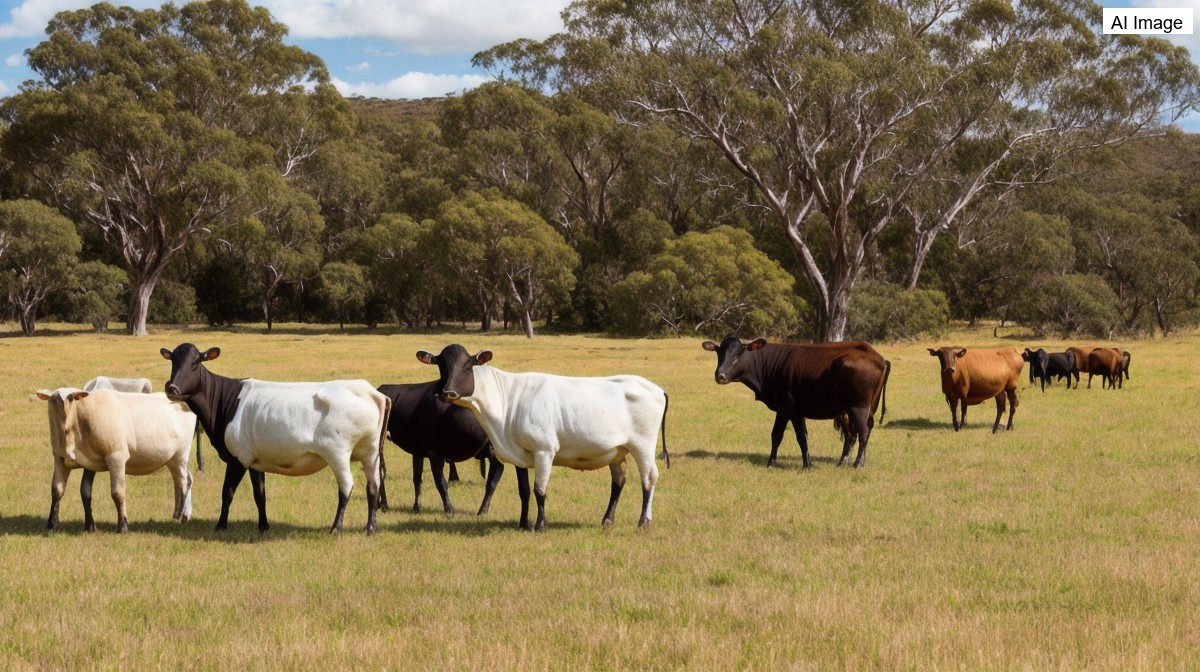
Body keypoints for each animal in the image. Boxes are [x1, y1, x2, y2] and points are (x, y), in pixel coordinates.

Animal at [37, 388, 194, 533]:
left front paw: (123, 526)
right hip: (171, 459)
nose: (64, 427)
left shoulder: (116, 457)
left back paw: (181, 516)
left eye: (71, 398)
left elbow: (118, 493)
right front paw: (56, 524)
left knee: (184, 481)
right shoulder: (64, 459)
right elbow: (64, 490)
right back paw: (180, 515)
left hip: (181, 455)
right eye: (53, 400)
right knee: (185, 479)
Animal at [160, 343, 389, 534]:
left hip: (338, 452)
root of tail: (368, 391)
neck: (227, 400)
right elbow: (259, 494)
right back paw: (370, 528)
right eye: (172, 361)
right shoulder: (255, 460)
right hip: (370, 452)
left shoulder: (238, 458)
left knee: (346, 487)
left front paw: (220, 525)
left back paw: (336, 528)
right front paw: (263, 525)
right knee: (373, 486)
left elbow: (227, 492)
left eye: (195, 362)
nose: (171, 388)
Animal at [377, 380, 521, 515]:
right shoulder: (423, 453)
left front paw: (448, 509)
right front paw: (419, 508)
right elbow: (424, 480)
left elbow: (437, 482)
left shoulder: (431, 455)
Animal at [418, 344, 669, 532]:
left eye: (467, 365)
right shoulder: (519, 455)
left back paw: (643, 521)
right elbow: (524, 491)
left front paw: (540, 525)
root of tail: (655, 388)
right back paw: (607, 520)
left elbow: (540, 490)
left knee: (649, 479)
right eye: (441, 365)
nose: (448, 393)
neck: (507, 402)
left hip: (643, 445)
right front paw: (522, 524)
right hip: (617, 451)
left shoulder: (544, 450)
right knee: (618, 481)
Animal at [700, 337, 889, 469]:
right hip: (852, 408)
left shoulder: (789, 408)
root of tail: (878, 357)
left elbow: (794, 436)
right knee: (854, 433)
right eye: (719, 352)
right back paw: (844, 462)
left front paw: (803, 465)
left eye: (740, 352)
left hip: (859, 407)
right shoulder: (785, 409)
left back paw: (858, 464)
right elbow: (779, 435)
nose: (720, 375)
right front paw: (777, 462)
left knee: (863, 431)